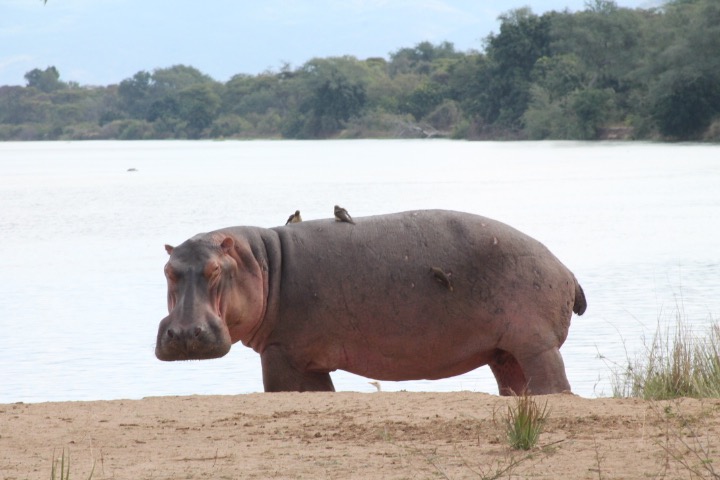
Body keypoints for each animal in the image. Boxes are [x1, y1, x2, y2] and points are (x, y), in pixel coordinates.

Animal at [158, 209, 584, 394]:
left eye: (215, 270)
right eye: (167, 270)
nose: (184, 333)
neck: (262, 262)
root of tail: (564, 267)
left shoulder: (283, 354)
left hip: (535, 344)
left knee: (553, 381)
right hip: (504, 351)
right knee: (515, 383)